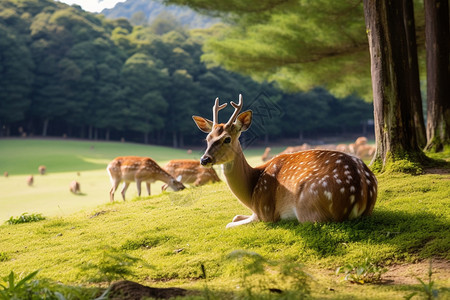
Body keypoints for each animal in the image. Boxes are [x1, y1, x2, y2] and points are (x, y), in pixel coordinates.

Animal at [193, 95, 380, 229]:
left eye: (227, 139)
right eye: (207, 138)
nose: (204, 159)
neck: (251, 192)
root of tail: (362, 195)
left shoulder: (264, 212)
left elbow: (229, 223)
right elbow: (235, 216)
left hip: (309, 206)